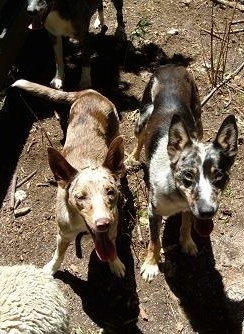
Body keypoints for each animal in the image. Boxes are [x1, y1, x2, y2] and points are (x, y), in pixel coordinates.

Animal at [11, 77, 126, 276]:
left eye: (110, 192)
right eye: (80, 197)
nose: (103, 224)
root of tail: (88, 92)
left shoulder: (112, 228)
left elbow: (112, 246)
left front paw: (115, 263)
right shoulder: (63, 234)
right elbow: (59, 254)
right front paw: (52, 267)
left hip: (115, 131)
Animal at [130, 63, 238, 282]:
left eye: (219, 177)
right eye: (188, 176)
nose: (207, 212)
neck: (176, 193)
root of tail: (172, 65)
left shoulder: (190, 206)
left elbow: (187, 223)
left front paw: (187, 243)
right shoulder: (153, 212)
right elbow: (154, 241)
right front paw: (151, 265)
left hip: (198, 118)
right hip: (143, 116)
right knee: (140, 138)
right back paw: (133, 158)